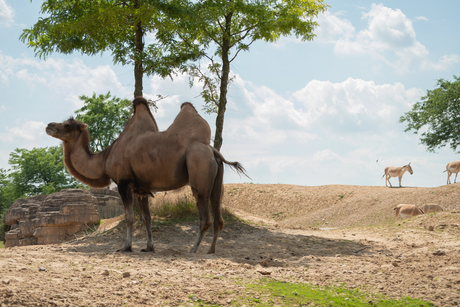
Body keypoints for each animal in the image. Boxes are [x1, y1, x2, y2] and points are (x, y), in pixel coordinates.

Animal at [45, 97, 248, 254]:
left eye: (66, 125)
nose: (48, 126)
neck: (105, 158)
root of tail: (212, 150)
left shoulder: (124, 183)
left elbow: (129, 217)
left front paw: (126, 247)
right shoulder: (141, 189)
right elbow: (147, 218)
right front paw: (149, 247)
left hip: (199, 173)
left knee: (205, 217)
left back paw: (194, 249)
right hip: (216, 179)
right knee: (218, 215)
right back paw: (211, 250)